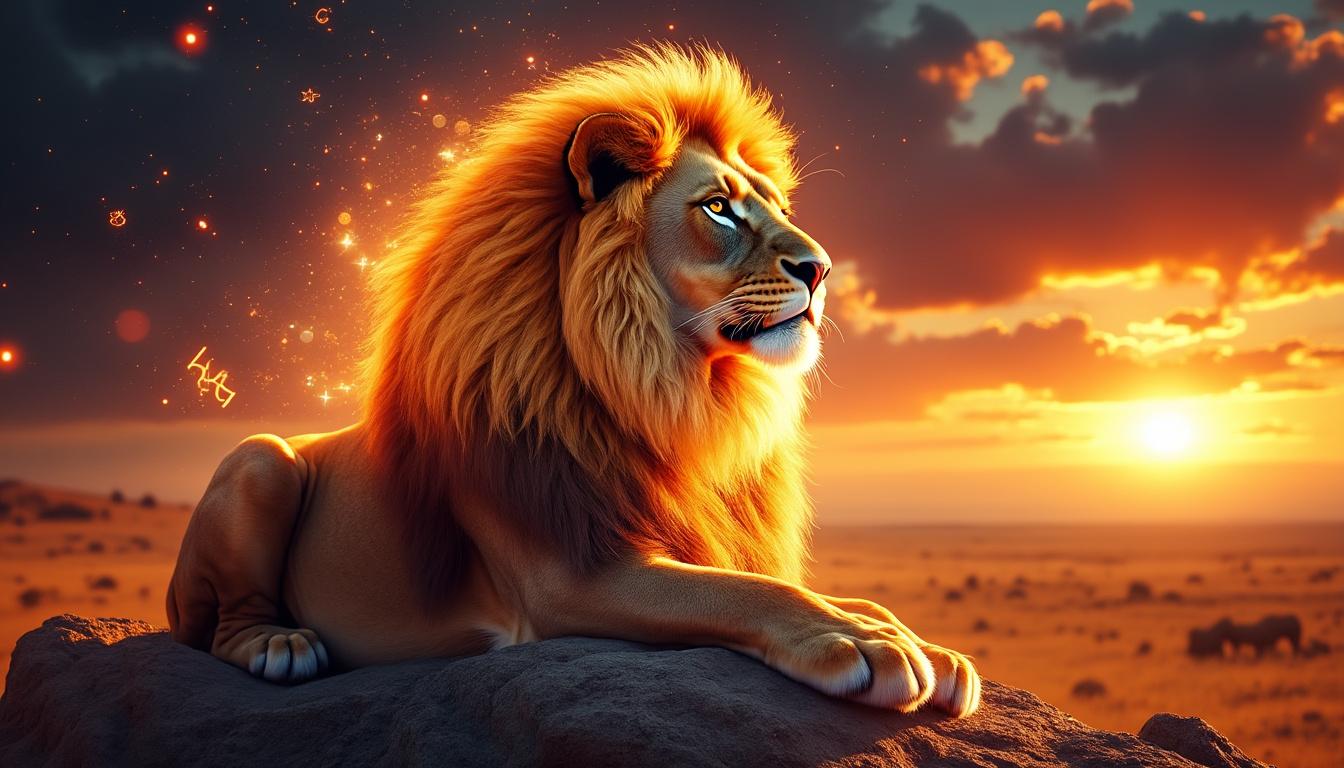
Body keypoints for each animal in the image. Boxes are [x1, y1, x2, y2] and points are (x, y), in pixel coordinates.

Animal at [166, 45, 980, 717]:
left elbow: (808, 586)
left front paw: (917, 641)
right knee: (218, 627)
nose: (822, 269)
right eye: (719, 208)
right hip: (260, 461)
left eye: (777, 208)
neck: (662, 388)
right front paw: (864, 646)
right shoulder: (568, 578)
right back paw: (282, 645)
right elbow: (745, 591)